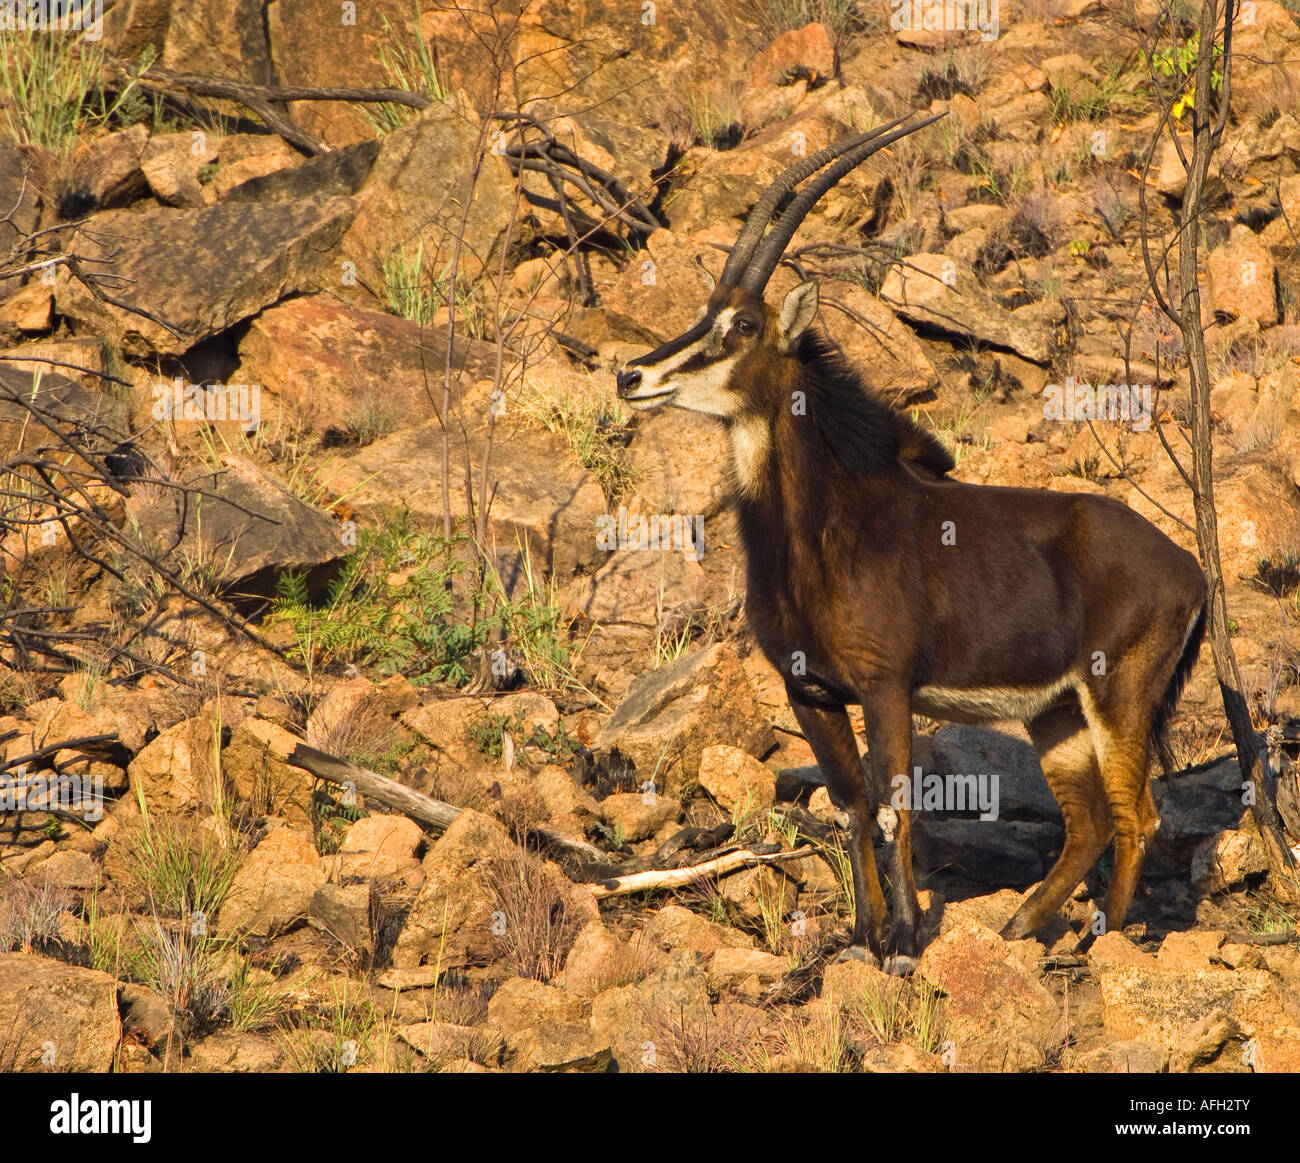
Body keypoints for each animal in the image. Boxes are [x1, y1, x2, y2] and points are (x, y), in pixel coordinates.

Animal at [615, 114, 1208, 972]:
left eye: (744, 325)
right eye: (705, 312)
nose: (631, 374)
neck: (822, 529)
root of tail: (1191, 569)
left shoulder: (886, 685)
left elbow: (894, 807)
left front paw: (900, 943)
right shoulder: (810, 691)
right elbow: (850, 805)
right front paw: (860, 935)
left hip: (1118, 695)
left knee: (1139, 816)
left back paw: (1099, 938)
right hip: (1057, 713)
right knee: (1093, 818)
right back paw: (1020, 925)